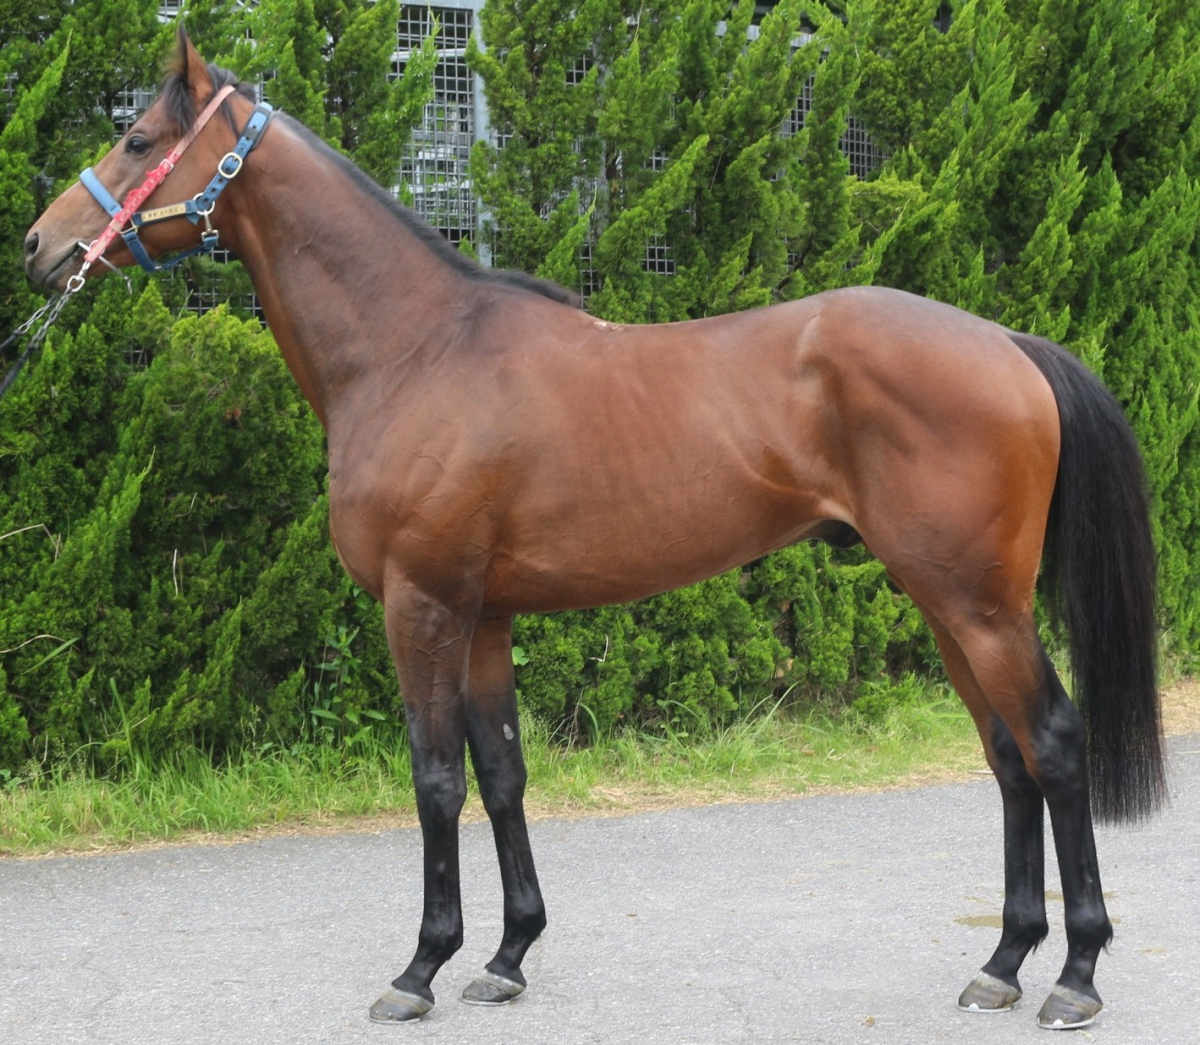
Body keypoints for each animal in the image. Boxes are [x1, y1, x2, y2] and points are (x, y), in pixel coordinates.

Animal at [23, 30, 1164, 1031]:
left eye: (136, 138)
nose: (41, 246)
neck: (415, 350)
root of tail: (1008, 343)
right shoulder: (483, 617)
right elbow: (502, 773)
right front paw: (506, 955)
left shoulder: (421, 606)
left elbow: (435, 780)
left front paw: (420, 968)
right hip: (946, 603)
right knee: (1008, 758)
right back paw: (1002, 963)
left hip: (978, 605)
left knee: (1053, 745)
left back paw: (1074, 976)